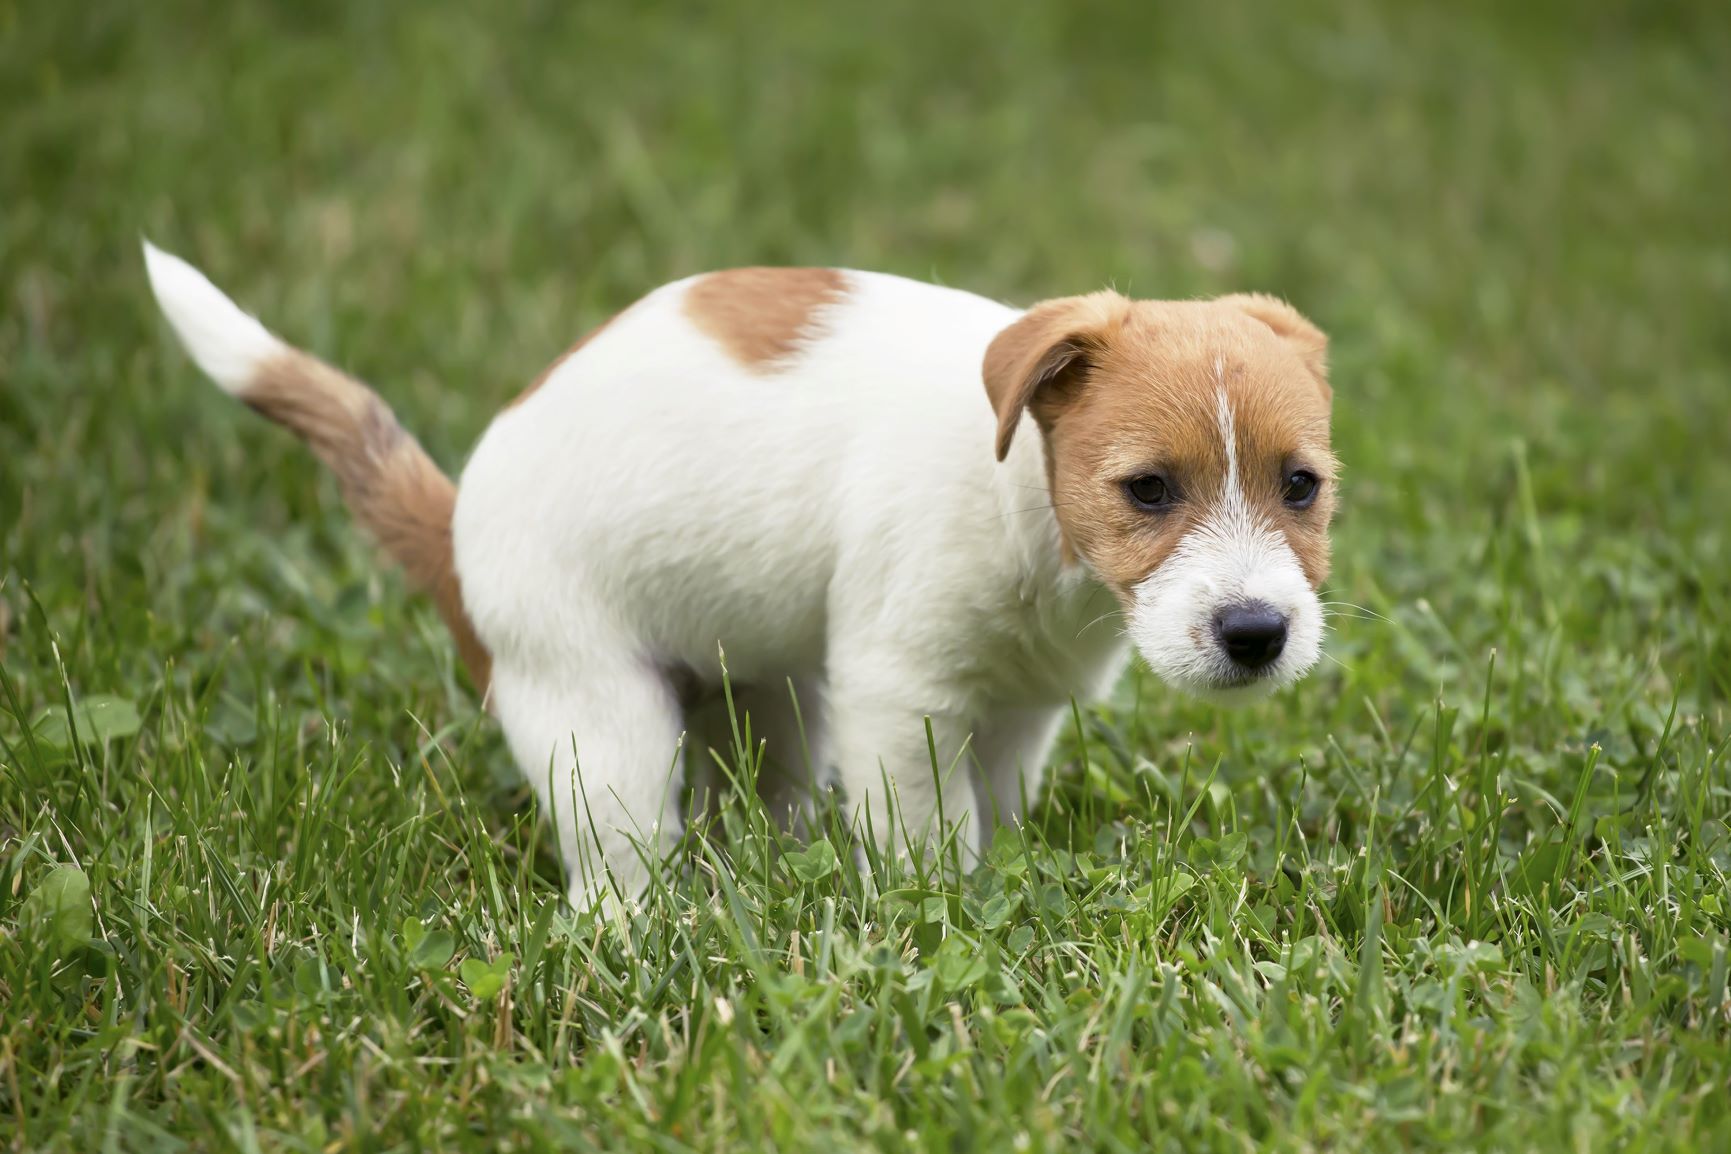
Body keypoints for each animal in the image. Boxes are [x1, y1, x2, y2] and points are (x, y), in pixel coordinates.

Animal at [148, 242, 1336, 913]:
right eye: (1146, 490)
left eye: (1302, 486)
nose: (1256, 632)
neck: (1029, 505)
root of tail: (453, 532)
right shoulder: (900, 697)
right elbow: (928, 832)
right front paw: (937, 908)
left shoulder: (1018, 710)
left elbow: (989, 809)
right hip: (602, 728)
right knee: (612, 873)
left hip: (772, 700)